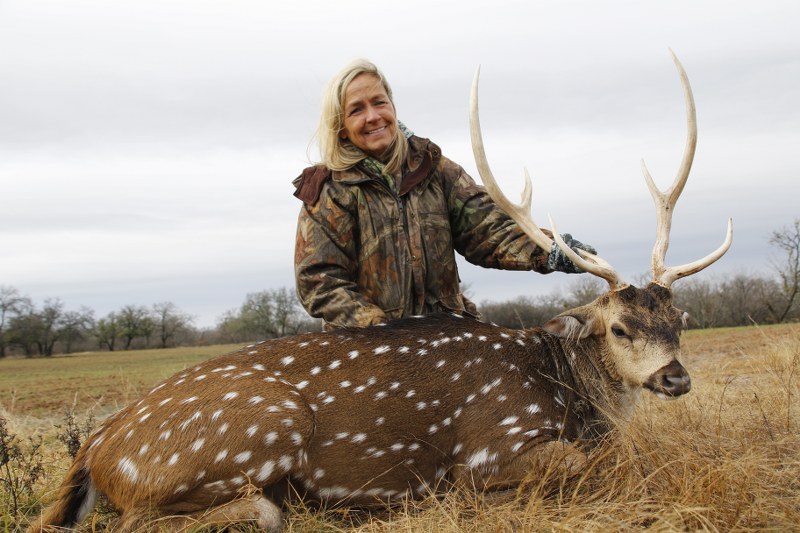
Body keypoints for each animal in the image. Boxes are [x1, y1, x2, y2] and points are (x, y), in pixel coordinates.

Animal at [29, 51, 732, 532]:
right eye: (619, 326)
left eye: (679, 320)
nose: (675, 378)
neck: (565, 391)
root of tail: (95, 447)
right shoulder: (487, 447)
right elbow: (587, 464)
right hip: (256, 426)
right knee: (148, 519)